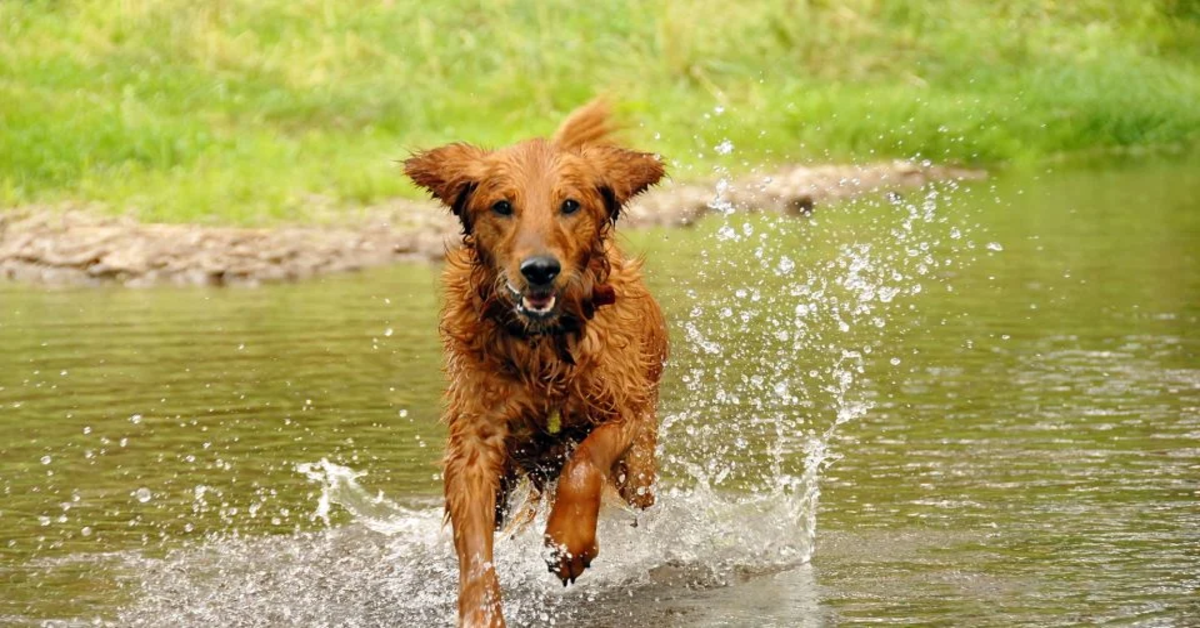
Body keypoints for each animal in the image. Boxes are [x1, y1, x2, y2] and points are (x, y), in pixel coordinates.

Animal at [403, 100, 667, 624]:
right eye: (502, 206)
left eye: (570, 205)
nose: (540, 270)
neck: (544, 347)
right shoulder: (476, 444)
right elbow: (475, 546)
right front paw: (481, 612)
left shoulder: (627, 411)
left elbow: (585, 460)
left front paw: (568, 543)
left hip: (640, 472)